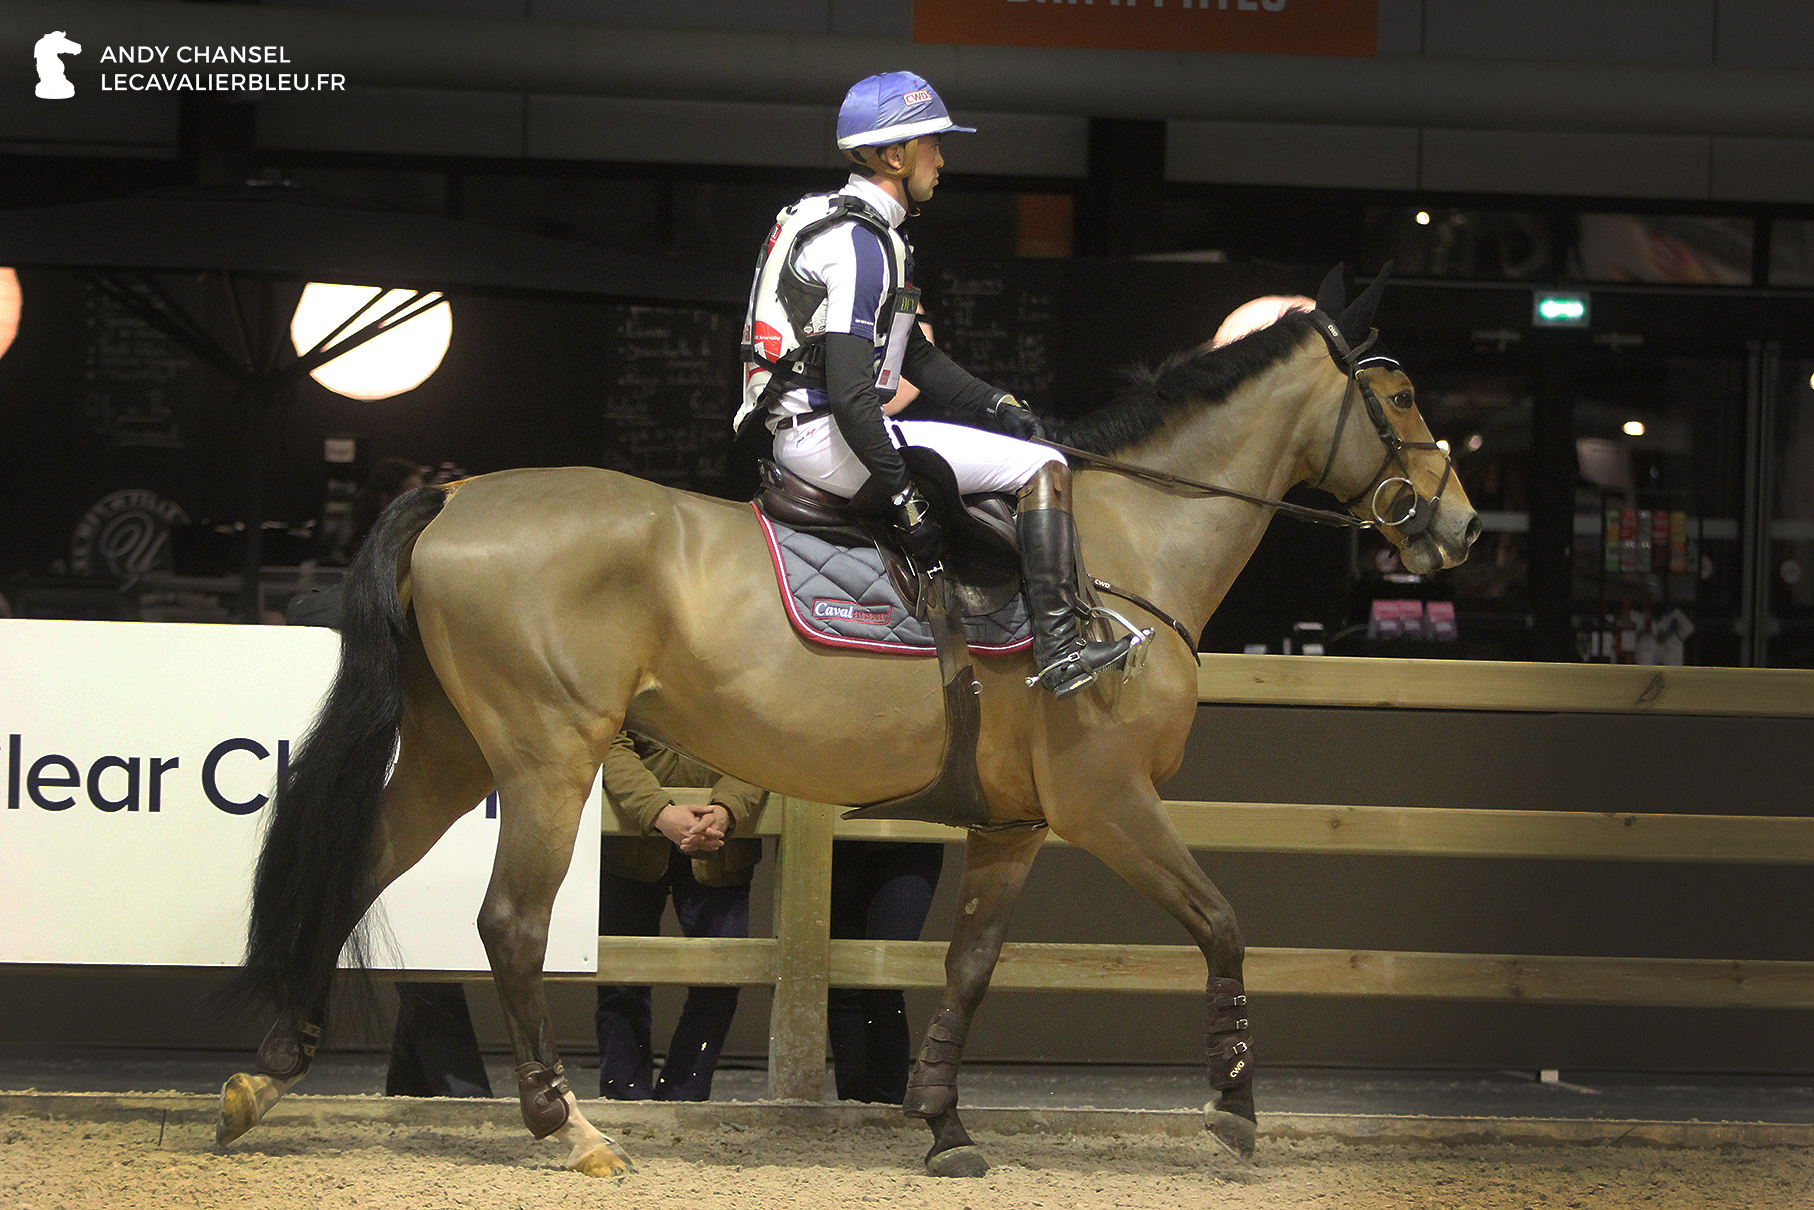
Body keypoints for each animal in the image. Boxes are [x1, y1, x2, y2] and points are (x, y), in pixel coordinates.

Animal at [219, 277, 1480, 1175]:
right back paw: (567, 1128)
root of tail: (458, 493)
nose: (1460, 527)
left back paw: (265, 1077)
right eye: (1400, 397)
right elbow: (1220, 924)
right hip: (543, 758)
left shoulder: (1017, 824)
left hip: (447, 751)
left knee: (356, 871)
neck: (1120, 546)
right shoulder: (1108, 803)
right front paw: (1233, 1105)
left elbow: (968, 964)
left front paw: (943, 1125)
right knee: (511, 923)